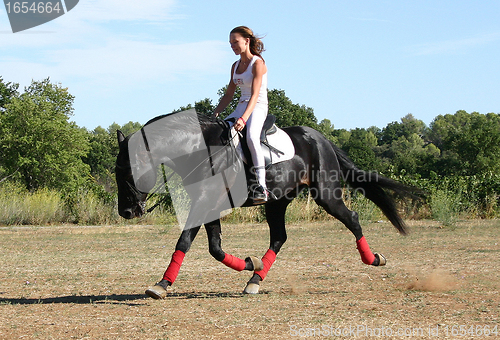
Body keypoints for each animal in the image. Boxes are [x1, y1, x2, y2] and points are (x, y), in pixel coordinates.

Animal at [115, 110, 416, 298]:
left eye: (129, 171)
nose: (126, 212)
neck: (199, 150)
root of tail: (321, 139)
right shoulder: (209, 204)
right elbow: (214, 248)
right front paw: (251, 264)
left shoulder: (205, 202)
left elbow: (186, 241)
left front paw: (161, 285)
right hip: (278, 201)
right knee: (279, 237)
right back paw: (255, 280)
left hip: (326, 194)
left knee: (351, 217)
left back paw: (373, 258)